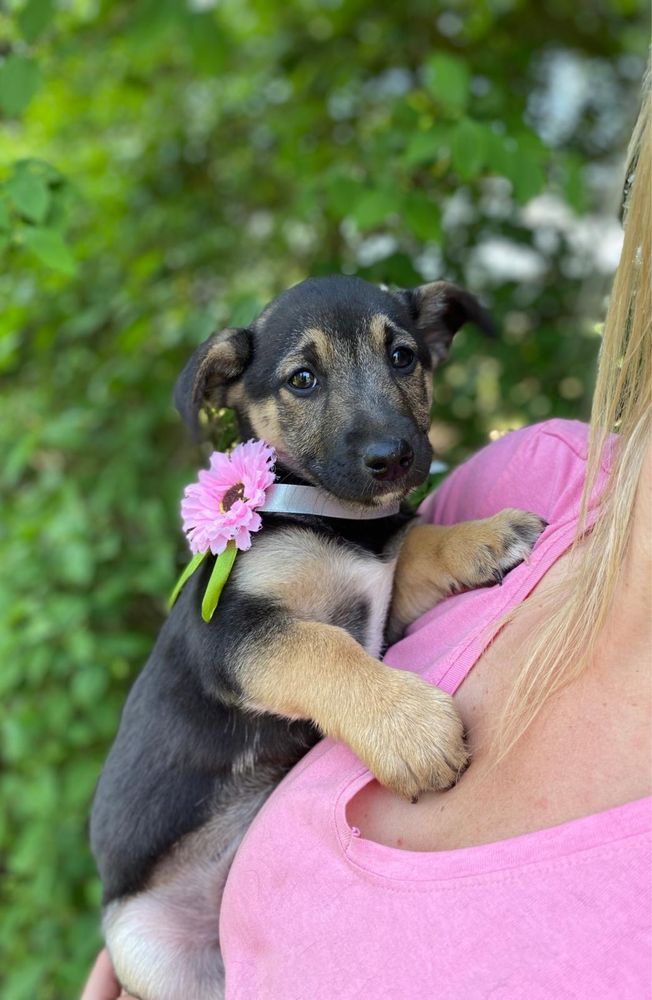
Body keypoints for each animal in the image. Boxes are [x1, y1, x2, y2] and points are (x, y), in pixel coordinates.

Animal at [89, 276, 544, 1000]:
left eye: (403, 357)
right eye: (301, 379)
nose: (393, 458)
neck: (335, 519)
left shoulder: (381, 600)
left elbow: (417, 544)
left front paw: (485, 534)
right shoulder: (236, 635)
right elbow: (325, 648)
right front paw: (410, 730)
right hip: (149, 951)